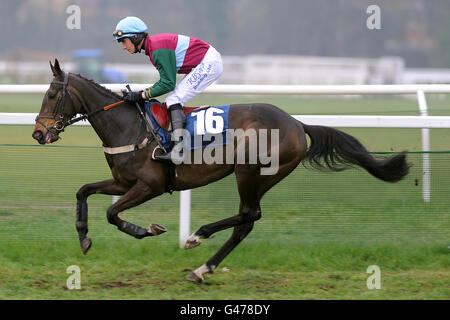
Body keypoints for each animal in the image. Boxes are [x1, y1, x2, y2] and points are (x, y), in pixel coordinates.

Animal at [32, 58, 412, 282]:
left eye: (51, 94)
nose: (38, 132)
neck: (128, 127)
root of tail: (296, 122)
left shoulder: (150, 185)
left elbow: (112, 214)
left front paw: (148, 230)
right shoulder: (122, 181)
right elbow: (83, 191)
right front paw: (83, 237)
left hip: (250, 171)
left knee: (249, 214)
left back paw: (198, 237)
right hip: (259, 177)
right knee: (246, 222)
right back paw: (203, 267)